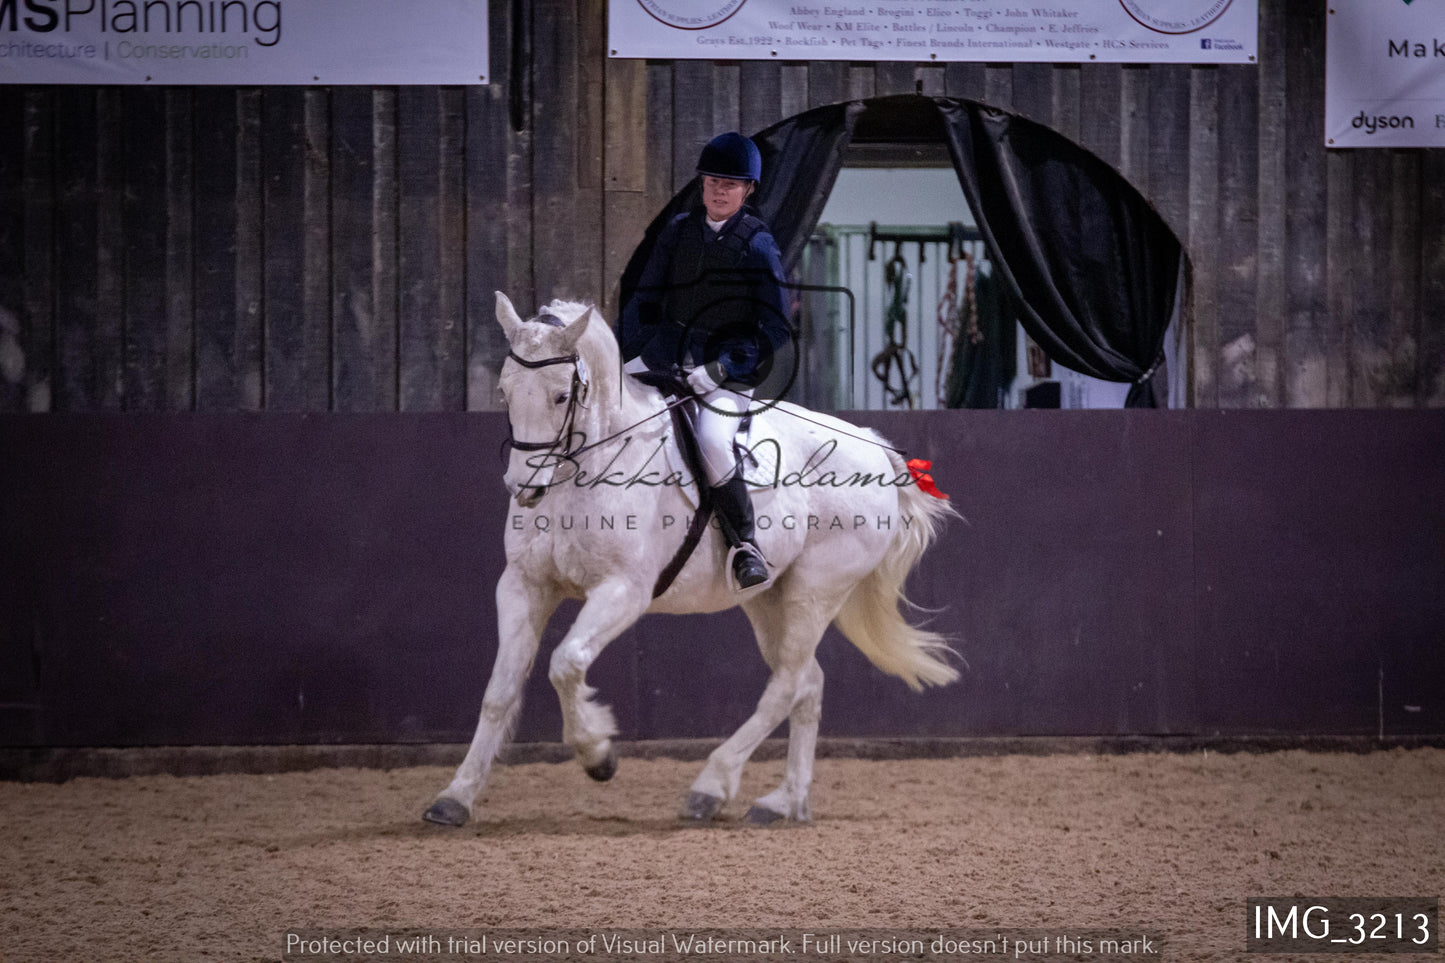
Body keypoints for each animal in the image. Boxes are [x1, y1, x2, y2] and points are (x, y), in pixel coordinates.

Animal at [421, 294, 959, 827]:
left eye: (559, 396)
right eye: (505, 392)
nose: (525, 489)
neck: (585, 473)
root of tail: (874, 448)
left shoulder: (623, 591)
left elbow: (566, 663)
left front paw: (598, 755)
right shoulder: (523, 585)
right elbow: (498, 692)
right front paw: (455, 796)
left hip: (816, 590)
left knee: (787, 684)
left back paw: (711, 787)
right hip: (768, 598)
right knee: (807, 680)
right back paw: (784, 802)